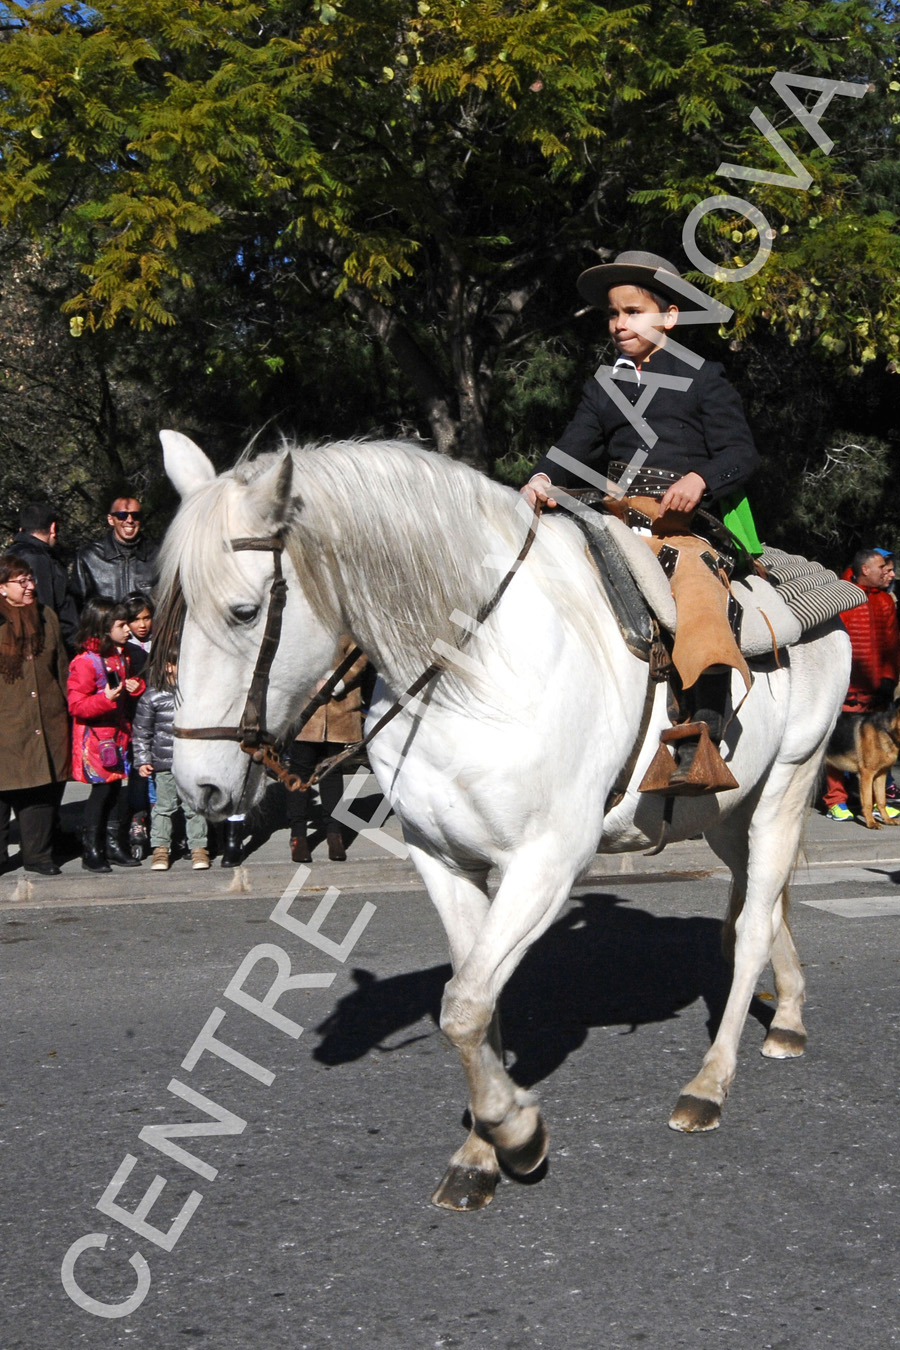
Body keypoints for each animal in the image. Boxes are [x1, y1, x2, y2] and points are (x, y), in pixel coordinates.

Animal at [159, 434, 852, 1215]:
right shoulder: (443, 858)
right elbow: (477, 1000)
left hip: (787, 784)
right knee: (757, 907)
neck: (475, 670)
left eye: (246, 612)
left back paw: (709, 1084)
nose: (200, 784)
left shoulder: (545, 865)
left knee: (756, 921)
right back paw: (788, 1017)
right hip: (728, 812)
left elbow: (462, 1005)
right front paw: (480, 1152)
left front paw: (516, 1134)